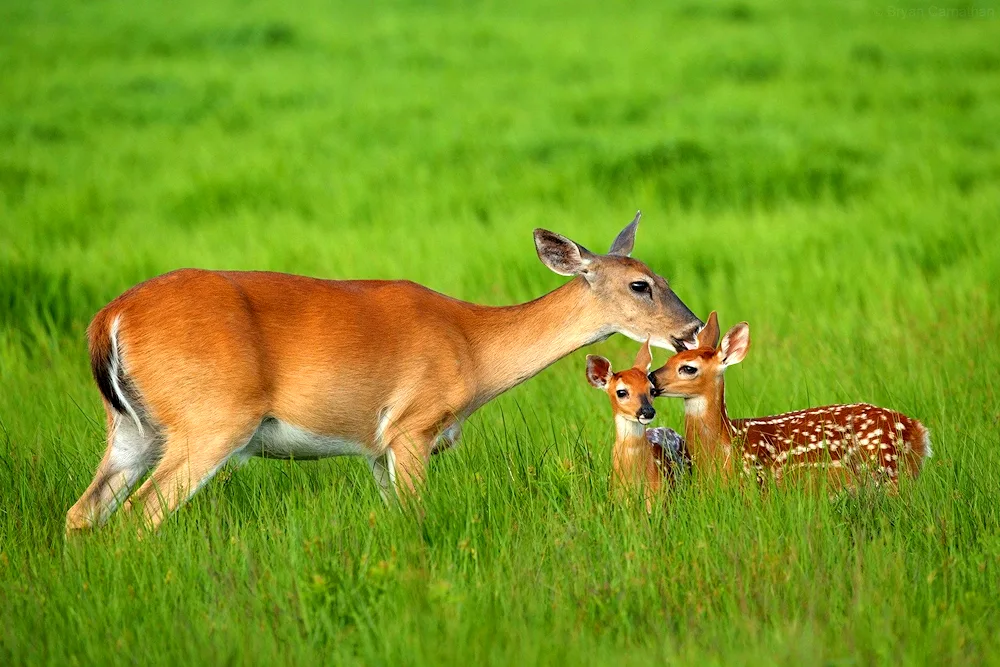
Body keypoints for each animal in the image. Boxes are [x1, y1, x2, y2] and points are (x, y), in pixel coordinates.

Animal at [648, 314, 928, 490]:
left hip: (888, 472)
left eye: (688, 368)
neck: (727, 446)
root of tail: (918, 430)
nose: (651, 378)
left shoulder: (760, 486)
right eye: (669, 359)